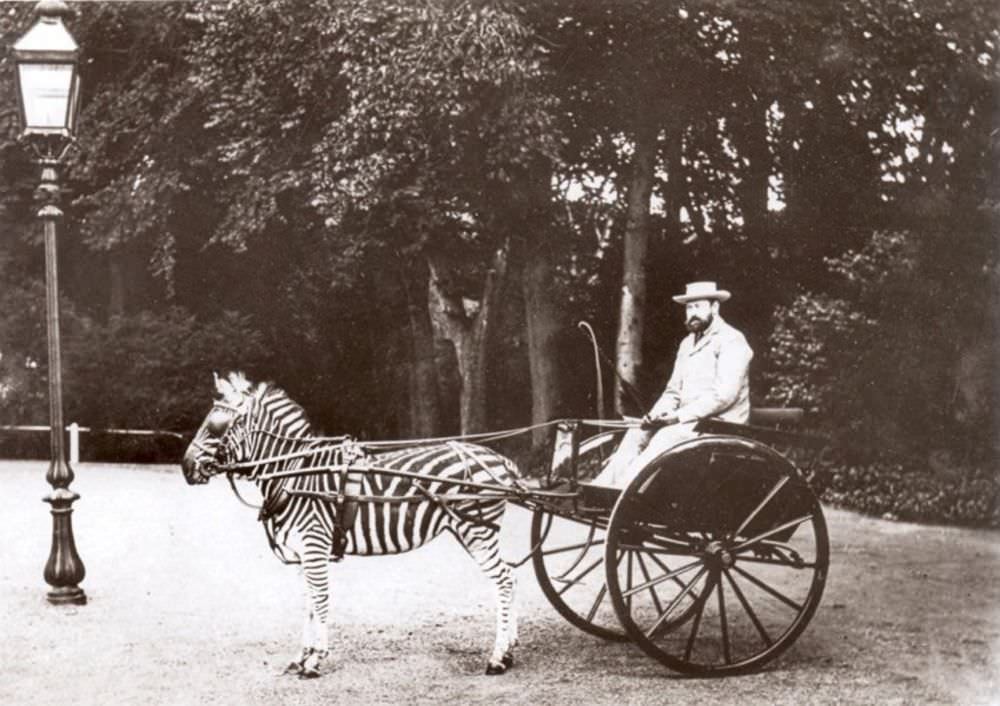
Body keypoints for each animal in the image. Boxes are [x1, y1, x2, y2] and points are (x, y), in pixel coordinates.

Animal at [182, 372, 524, 672]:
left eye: (216, 425)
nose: (186, 468)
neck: (294, 473)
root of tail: (500, 459)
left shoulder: (314, 543)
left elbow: (320, 598)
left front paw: (316, 660)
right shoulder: (303, 552)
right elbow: (307, 602)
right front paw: (302, 656)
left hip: (476, 529)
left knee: (504, 580)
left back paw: (497, 658)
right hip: (469, 530)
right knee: (510, 577)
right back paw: (510, 650)